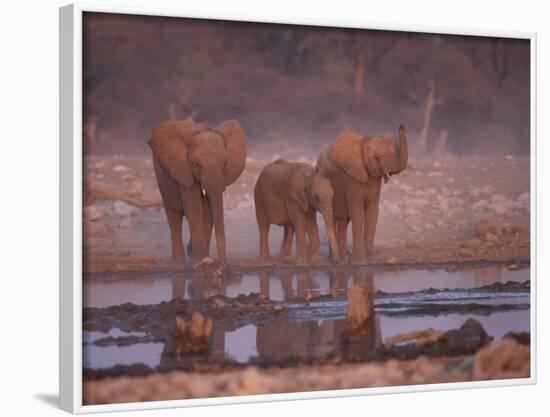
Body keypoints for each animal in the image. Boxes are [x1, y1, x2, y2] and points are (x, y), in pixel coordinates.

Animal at [150, 115, 247, 264]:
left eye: (225, 163)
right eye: (196, 164)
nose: (224, 263)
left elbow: (207, 212)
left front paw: (203, 259)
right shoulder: (183, 169)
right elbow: (194, 208)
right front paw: (202, 261)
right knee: (174, 217)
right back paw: (178, 264)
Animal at [316, 123, 408, 264]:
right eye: (376, 158)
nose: (401, 125)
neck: (365, 142)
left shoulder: (374, 179)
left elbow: (372, 212)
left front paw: (370, 260)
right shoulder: (350, 176)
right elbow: (357, 211)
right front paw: (360, 262)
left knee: (342, 219)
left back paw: (343, 258)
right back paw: (336, 259)